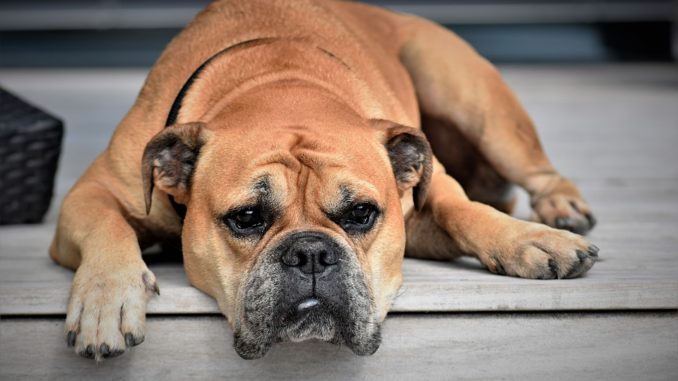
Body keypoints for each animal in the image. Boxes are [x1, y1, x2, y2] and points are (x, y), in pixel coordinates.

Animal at [49, 0, 600, 360]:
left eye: (361, 214)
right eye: (246, 217)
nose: (311, 252)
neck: (280, 83)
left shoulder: (428, 193)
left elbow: (462, 208)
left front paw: (531, 240)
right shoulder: (91, 192)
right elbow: (106, 226)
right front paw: (106, 299)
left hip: (470, 95)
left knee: (536, 170)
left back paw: (560, 211)